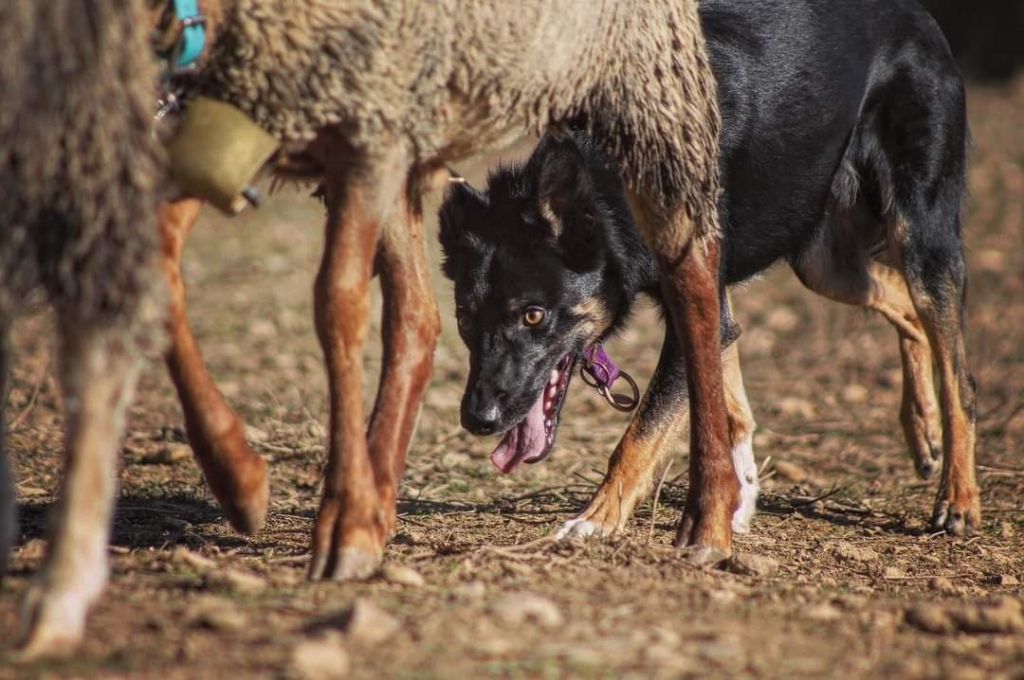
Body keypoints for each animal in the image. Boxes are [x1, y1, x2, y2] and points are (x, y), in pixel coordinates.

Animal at [159, 0, 733, 585]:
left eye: (533, 316)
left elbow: (338, 302)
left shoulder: (369, 118)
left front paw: (342, 523)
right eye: (470, 318)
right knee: (416, 313)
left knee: (695, 290)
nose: (479, 419)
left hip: (651, 94)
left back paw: (708, 518)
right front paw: (241, 481)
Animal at [442, 0, 974, 540]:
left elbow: (641, 433)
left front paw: (596, 520)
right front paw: (729, 503)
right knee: (904, 306)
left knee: (959, 378)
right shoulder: (712, 306)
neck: (615, 178)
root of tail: (914, 14)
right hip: (825, 263)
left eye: (533, 315)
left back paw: (958, 496)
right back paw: (922, 427)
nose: (477, 419)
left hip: (920, 233)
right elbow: (724, 404)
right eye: (464, 318)